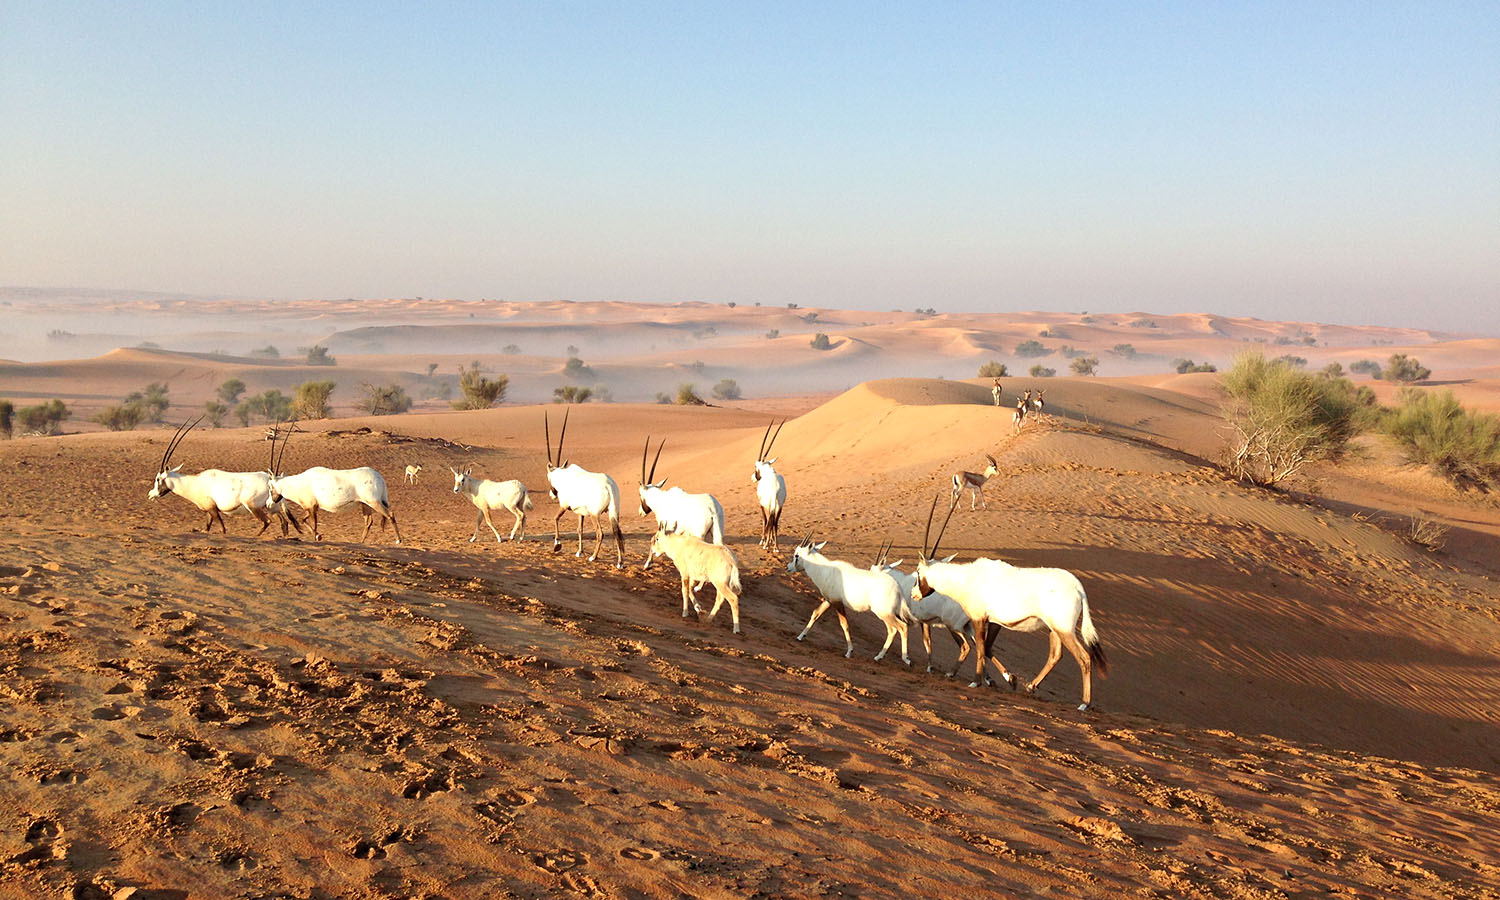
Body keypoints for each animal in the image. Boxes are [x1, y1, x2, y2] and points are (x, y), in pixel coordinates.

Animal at [147, 417, 300, 536]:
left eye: (158, 479)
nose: (151, 494)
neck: (195, 482)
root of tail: (273, 479)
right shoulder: (209, 511)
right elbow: (207, 527)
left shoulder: (213, 509)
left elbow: (222, 527)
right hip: (271, 507)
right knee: (284, 521)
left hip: (253, 507)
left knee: (267, 521)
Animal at [266, 423, 401, 543]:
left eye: (270, 486)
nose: (268, 503)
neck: (298, 483)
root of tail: (380, 478)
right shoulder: (312, 507)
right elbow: (303, 519)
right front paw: (318, 536)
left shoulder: (312, 508)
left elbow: (314, 524)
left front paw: (317, 537)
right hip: (365, 504)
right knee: (368, 522)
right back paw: (360, 542)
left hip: (374, 502)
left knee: (390, 514)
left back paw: (398, 540)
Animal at [544, 410, 625, 567]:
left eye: (548, 478)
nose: (552, 494)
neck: (562, 476)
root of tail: (609, 486)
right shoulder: (580, 512)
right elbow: (579, 529)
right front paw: (579, 552)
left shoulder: (564, 505)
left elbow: (555, 518)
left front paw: (557, 545)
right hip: (614, 512)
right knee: (616, 532)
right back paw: (619, 562)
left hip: (595, 514)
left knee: (600, 533)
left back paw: (593, 557)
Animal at [752, 420, 788, 552]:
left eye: (755, 466)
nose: (753, 477)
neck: (768, 472)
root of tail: (774, 492)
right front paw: (771, 542)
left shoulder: (761, 504)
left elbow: (764, 520)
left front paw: (763, 541)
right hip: (779, 506)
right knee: (775, 523)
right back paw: (776, 546)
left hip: (769, 505)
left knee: (769, 521)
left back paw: (766, 544)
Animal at [913, 497, 1107, 709]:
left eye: (918, 572)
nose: (914, 594)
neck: (966, 578)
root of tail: (1078, 588)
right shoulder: (995, 622)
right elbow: (987, 648)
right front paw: (1009, 679)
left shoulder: (979, 618)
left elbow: (979, 648)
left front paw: (976, 681)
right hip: (1053, 629)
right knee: (1056, 655)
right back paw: (1031, 686)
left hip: (1064, 629)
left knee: (1084, 657)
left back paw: (1084, 703)